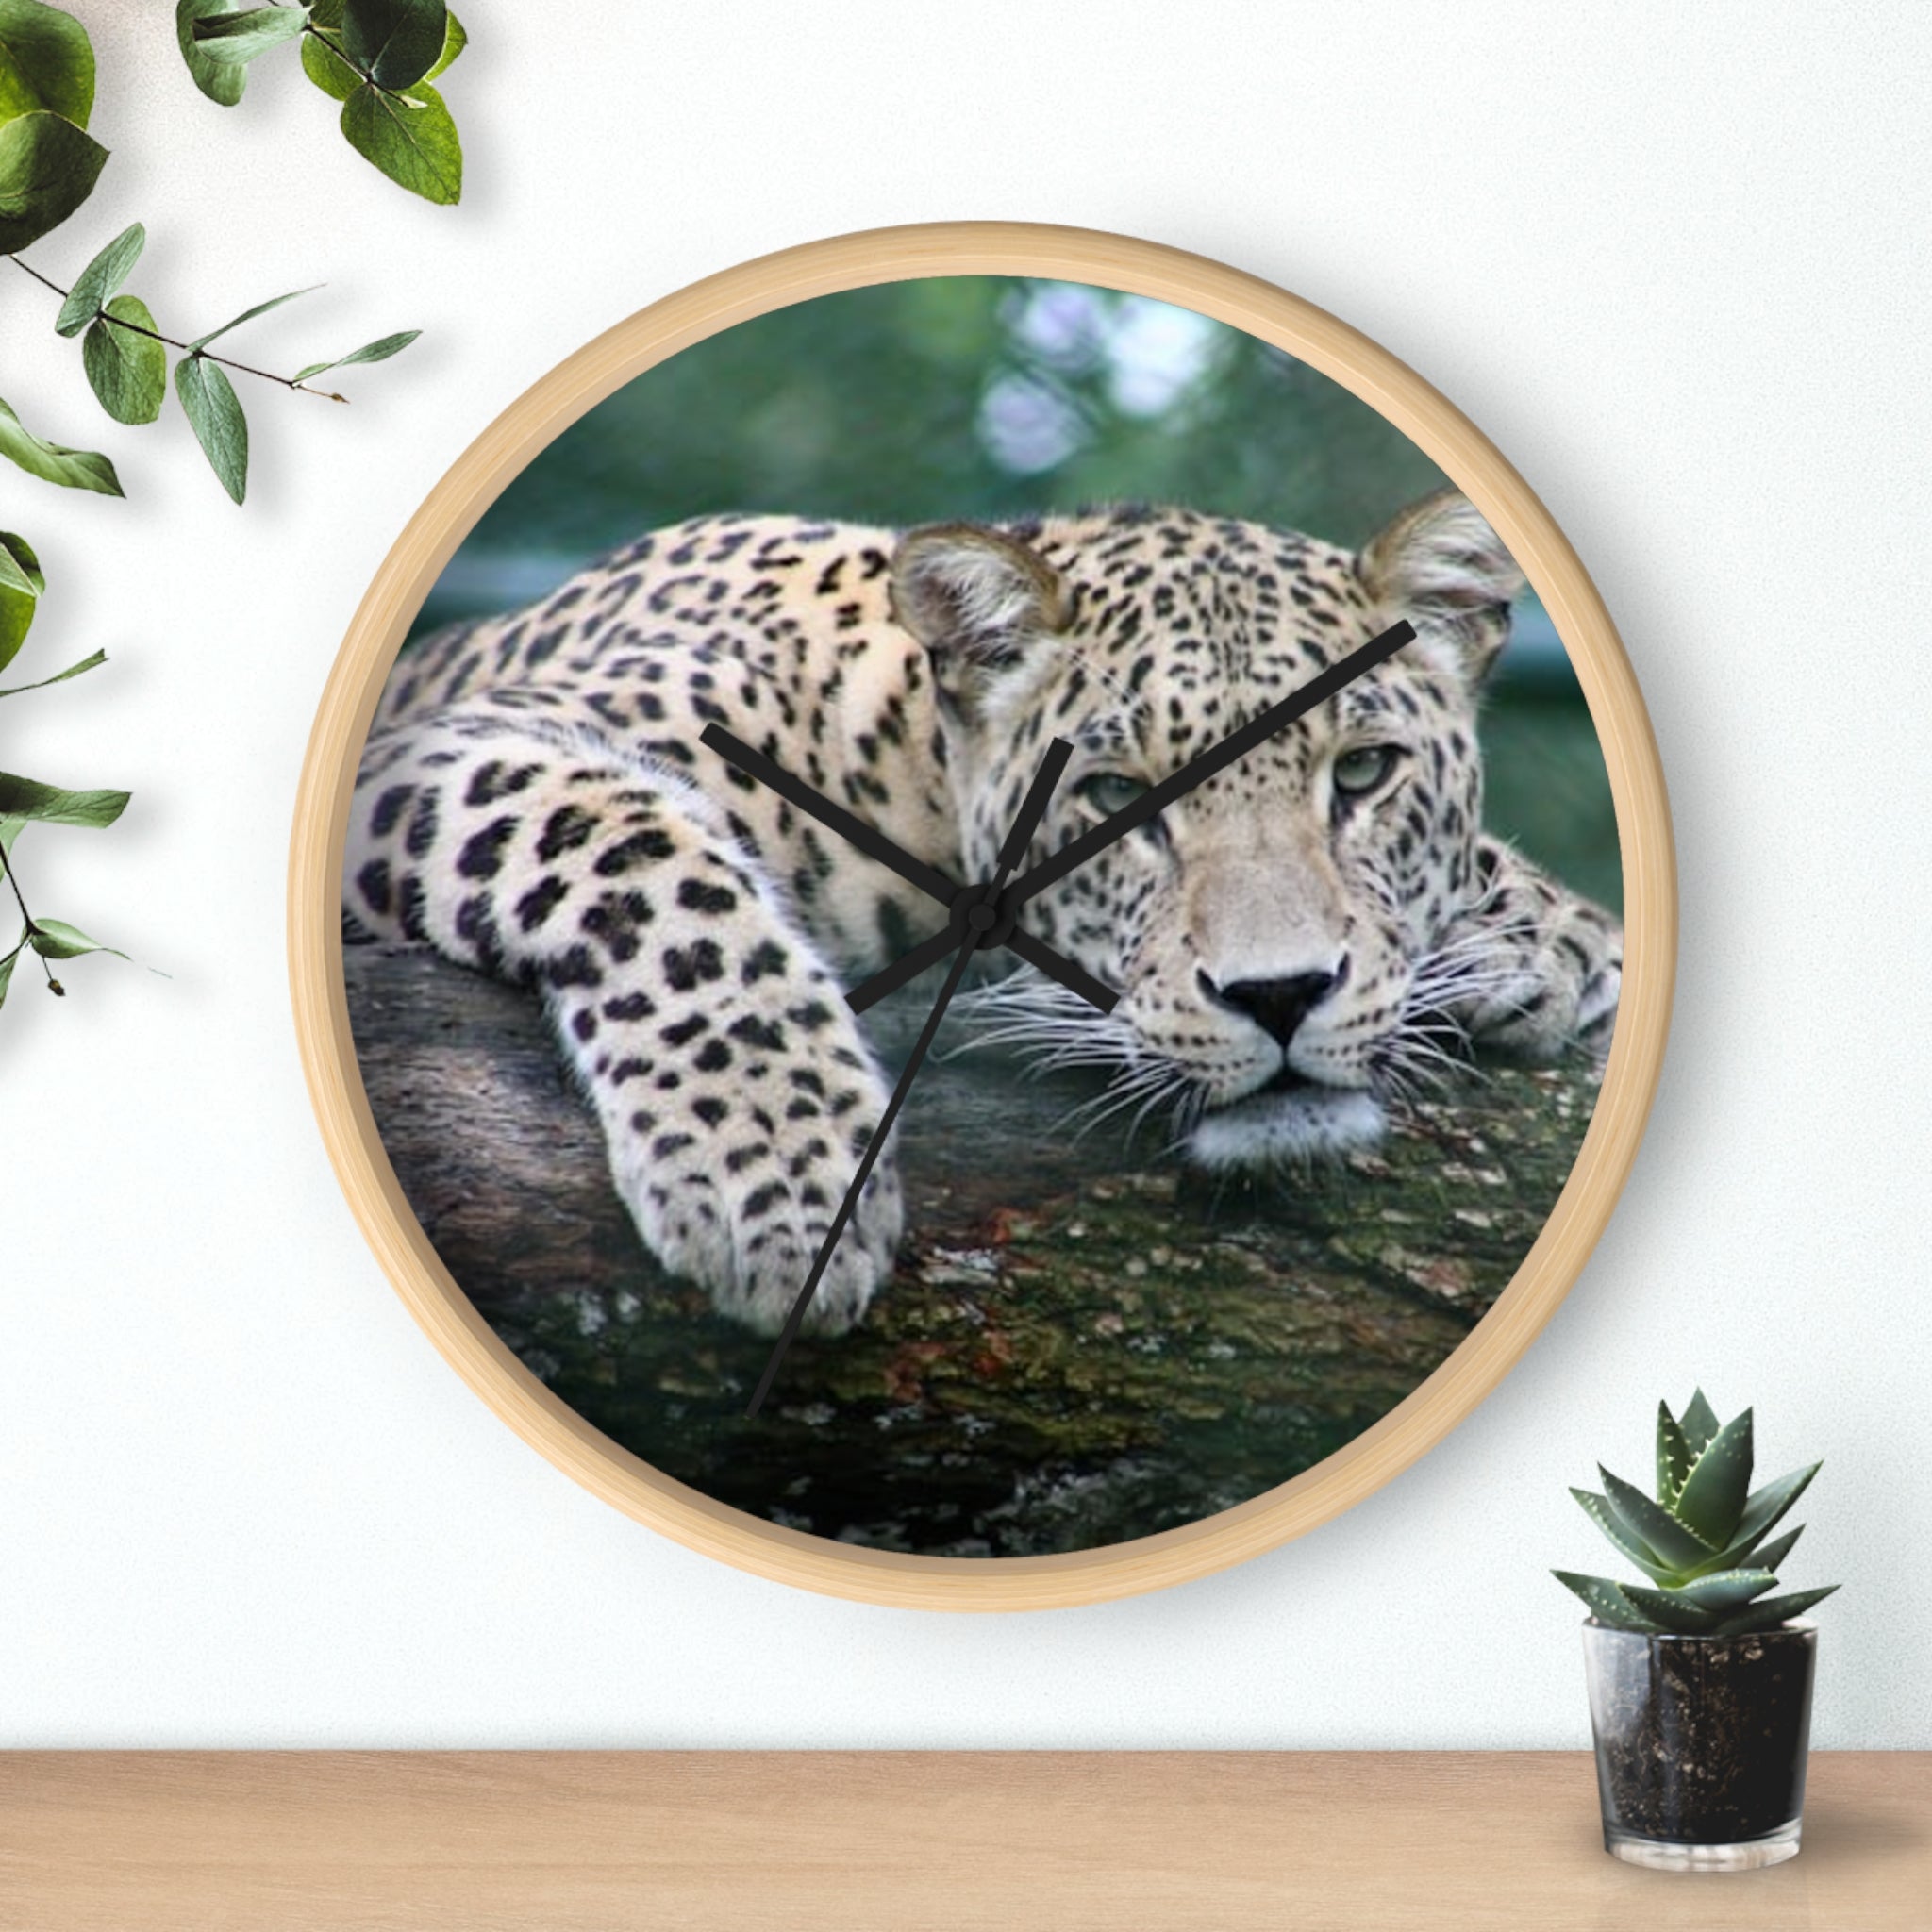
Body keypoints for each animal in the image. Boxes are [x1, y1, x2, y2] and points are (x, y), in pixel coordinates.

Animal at [344, 490, 1622, 1338]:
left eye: (1360, 772)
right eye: (1112, 799)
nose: (1279, 995)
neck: (903, 764)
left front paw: (1545, 937)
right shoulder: (446, 751)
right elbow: (651, 859)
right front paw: (778, 1173)